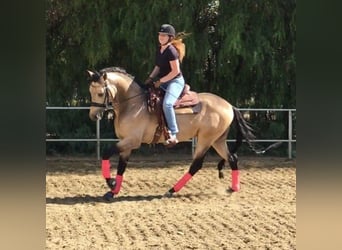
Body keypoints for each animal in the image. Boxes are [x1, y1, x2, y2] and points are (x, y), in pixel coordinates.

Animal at [87, 66, 256, 201]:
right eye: (90, 91)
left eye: (100, 93)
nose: (93, 116)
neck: (133, 104)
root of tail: (229, 105)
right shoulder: (126, 143)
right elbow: (122, 167)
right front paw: (113, 191)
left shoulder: (132, 141)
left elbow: (106, 153)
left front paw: (111, 183)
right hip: (217, 140)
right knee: (232, 158)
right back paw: (233, 188)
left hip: (206, 139)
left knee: (196, 165)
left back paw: (171, 190)